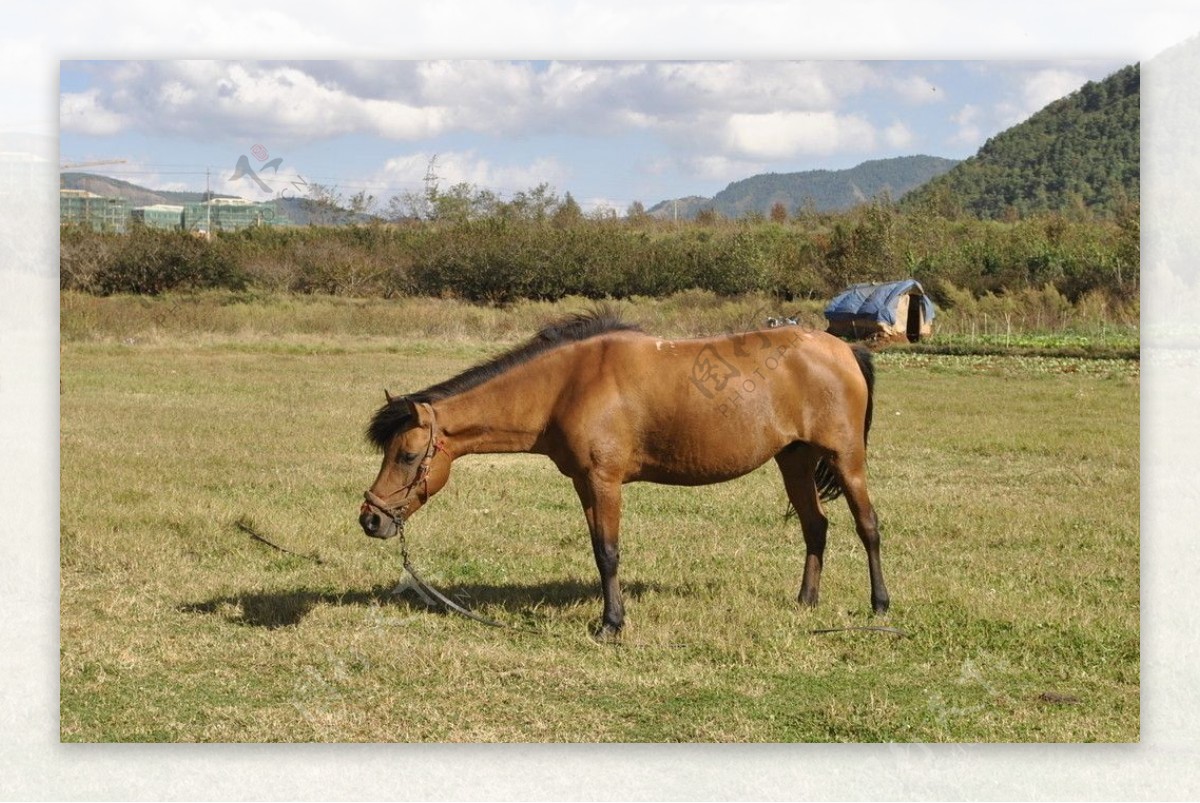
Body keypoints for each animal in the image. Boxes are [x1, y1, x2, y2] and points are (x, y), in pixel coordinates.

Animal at [360, 309, 888, 633]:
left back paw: (879, 604)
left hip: (846, 461)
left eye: (406, 456)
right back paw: (806, 601)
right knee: (815, 527)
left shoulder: (604, 482)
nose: (371, 518)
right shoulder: (584, 485)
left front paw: (611, 624)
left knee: (868, 527)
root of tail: (844, 350)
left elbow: (609, 553)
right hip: (794, 459)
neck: (567, 384)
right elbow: (599, 553)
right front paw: (611, 617)